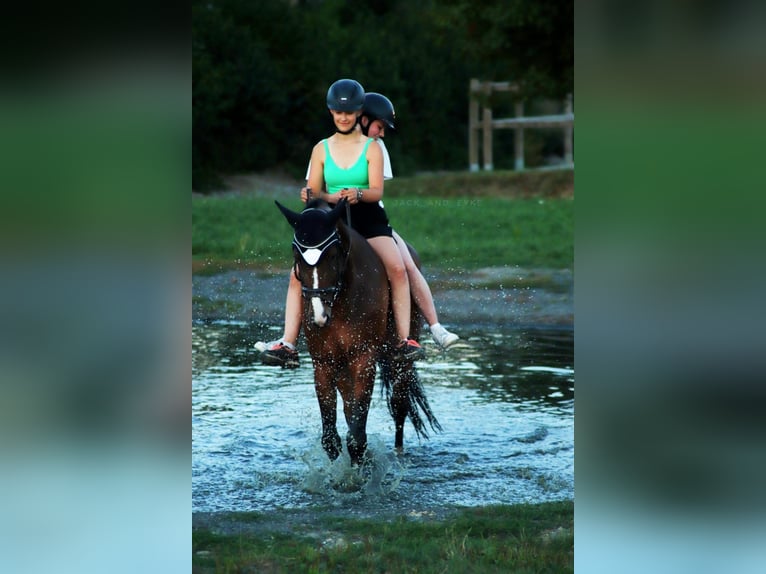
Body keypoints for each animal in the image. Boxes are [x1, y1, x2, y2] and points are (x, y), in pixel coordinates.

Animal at [275, 198, 441, 466]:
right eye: (296, 256)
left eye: (332, 255)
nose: (318, 316)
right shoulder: (324, 362)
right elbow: (332, 438)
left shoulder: (364, 359)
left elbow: (356, 437)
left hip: (400, 358)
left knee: (399, 405)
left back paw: (399, 452)